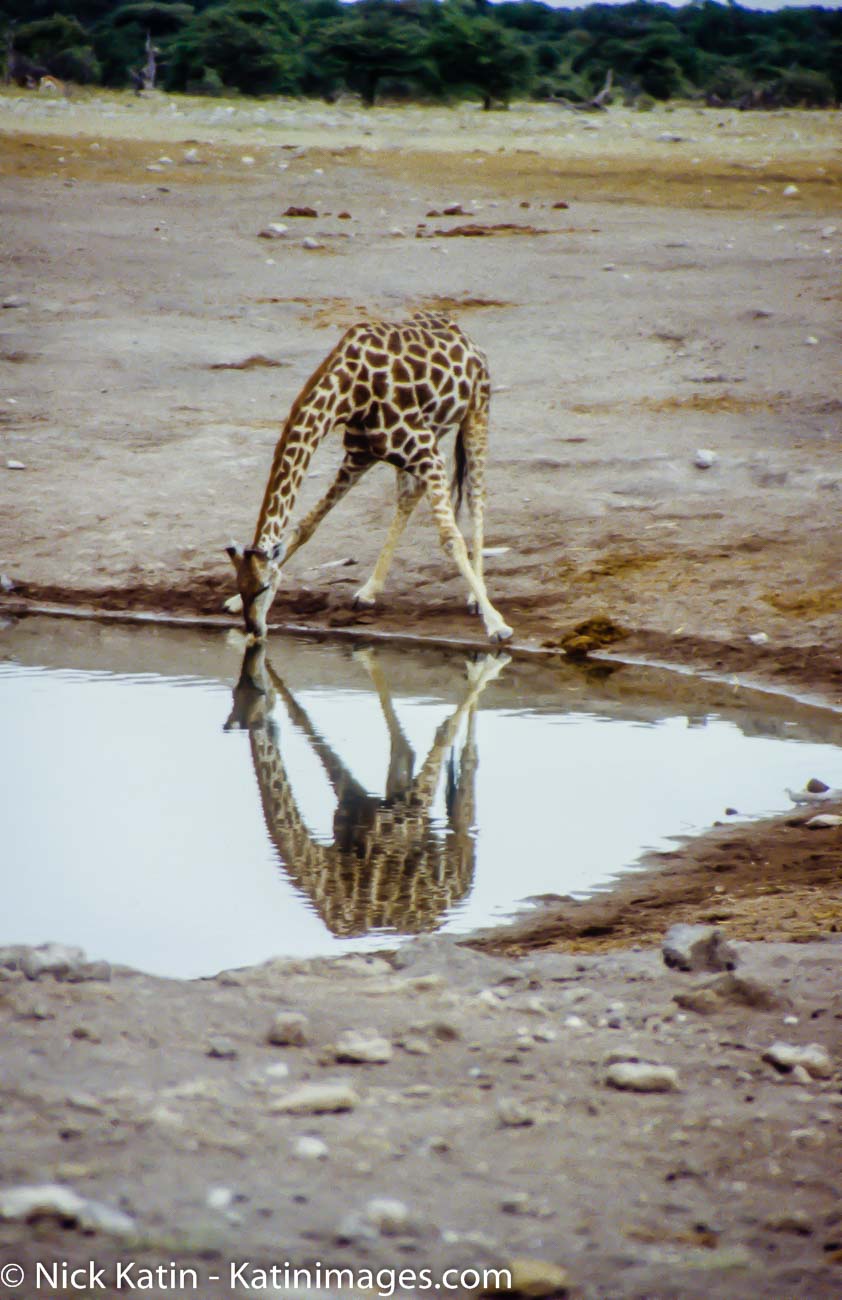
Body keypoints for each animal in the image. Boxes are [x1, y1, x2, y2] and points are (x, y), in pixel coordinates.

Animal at [224, 643, 509, 937]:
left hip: (437, 839)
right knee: (413, 755)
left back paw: (486, 664)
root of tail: (462, 890)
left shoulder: (410, 808)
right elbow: (301, 718)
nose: (254, 673)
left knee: (464, 776)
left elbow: (443, 730)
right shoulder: (352, 800)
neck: (321, 869)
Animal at [225, 312, 512, 643]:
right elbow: (306, 525)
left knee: (476, 497)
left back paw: (476, 599)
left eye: (264, 588)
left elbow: (451, 539)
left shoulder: (427, 455)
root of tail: (467, 338)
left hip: (476, 412)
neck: (349, 391)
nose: (255, 630)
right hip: (425, 439)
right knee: (409, 496)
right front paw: (232, 602)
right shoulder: (360, 456)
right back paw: (369, 590)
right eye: (241, 586)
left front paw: (497, 625)